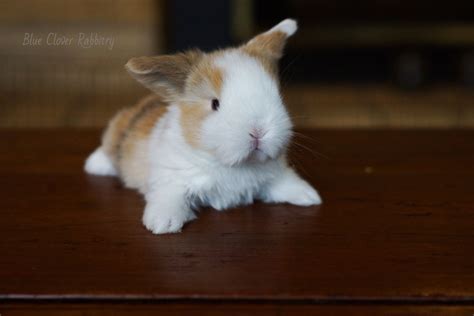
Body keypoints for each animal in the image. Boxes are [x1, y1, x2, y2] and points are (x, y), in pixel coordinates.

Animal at [84, 18, 322, 233]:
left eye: (277, 96)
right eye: (215, 103)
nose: (258, 131)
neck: (234, 165)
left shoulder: (272, 174)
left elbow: (282, 183)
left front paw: (308, 196)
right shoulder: (171, 179)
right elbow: (169, 197)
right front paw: (163, 224)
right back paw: (94, 165)